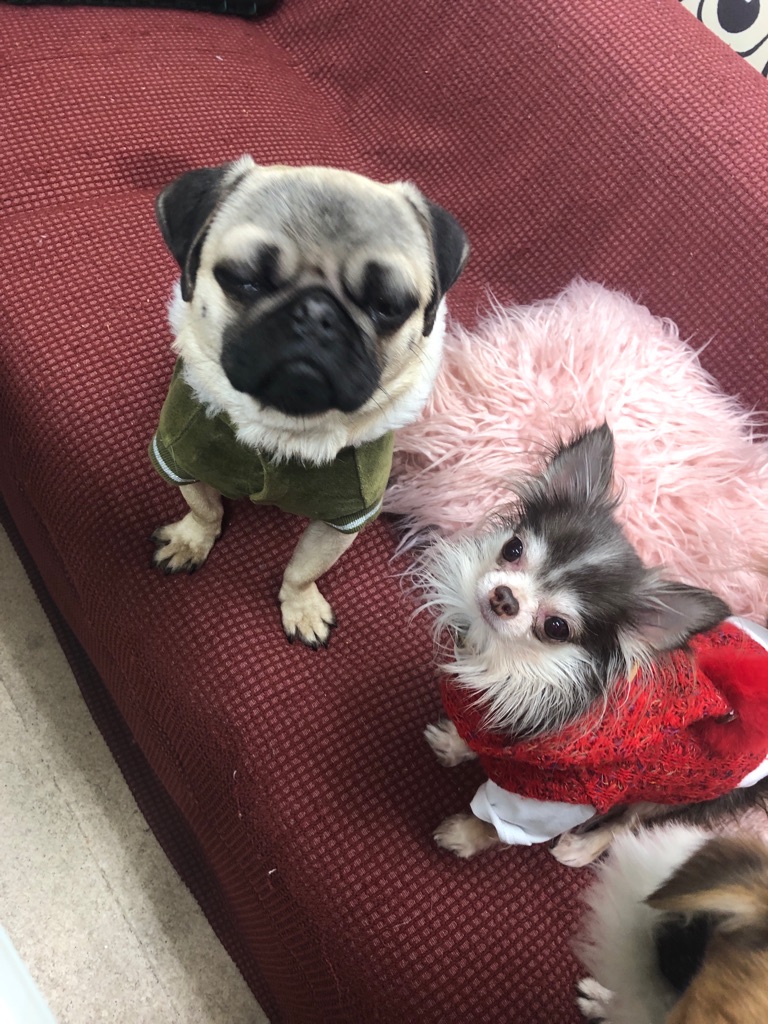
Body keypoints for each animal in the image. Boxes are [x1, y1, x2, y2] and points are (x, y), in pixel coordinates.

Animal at [149, 157, 469, 647]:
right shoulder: (181, 457)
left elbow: (304, 568)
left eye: (387, 306)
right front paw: (192, 541)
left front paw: (300, 607)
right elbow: (204, 509)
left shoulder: (345, 517)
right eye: (245, 280)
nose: (317, 314)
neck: (281, 429)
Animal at [421, 423, 768, 862]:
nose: (504, 598)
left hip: (682, 790)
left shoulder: (554, 799)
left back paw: (581, 849)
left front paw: (465, 835)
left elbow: (498, 825)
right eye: (513, 549)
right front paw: (454, 742)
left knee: (629, 822)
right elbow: (475, 737)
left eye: (556, 627)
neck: (510, 662)